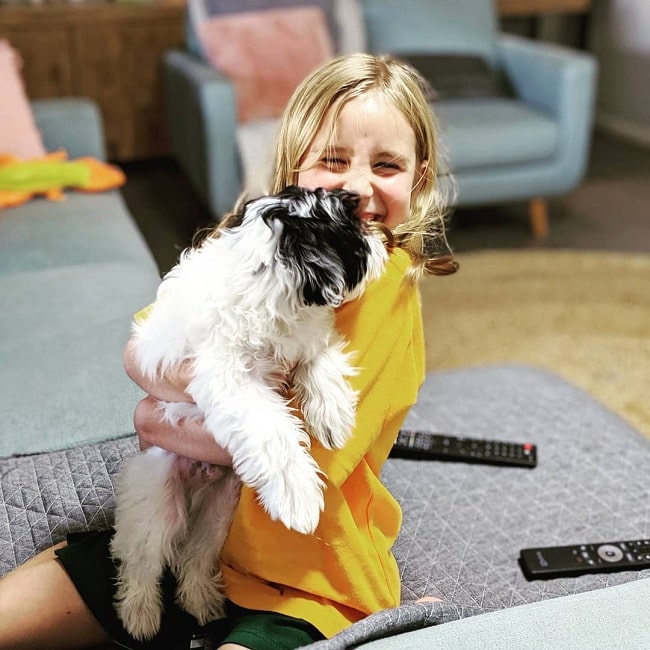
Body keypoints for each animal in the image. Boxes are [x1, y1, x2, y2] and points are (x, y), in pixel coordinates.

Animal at [109, 185, 388, 636]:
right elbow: (270, 427)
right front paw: (299, 497)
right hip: (156, 502)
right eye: (353, 229)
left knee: (195, 555)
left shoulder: (306, 340)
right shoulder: (226, 376)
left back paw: (202, 601)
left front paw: (332, 416)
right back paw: (141, 613)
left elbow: (321, 358)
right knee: (143, 560)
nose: (383, 240)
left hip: (221, 512)